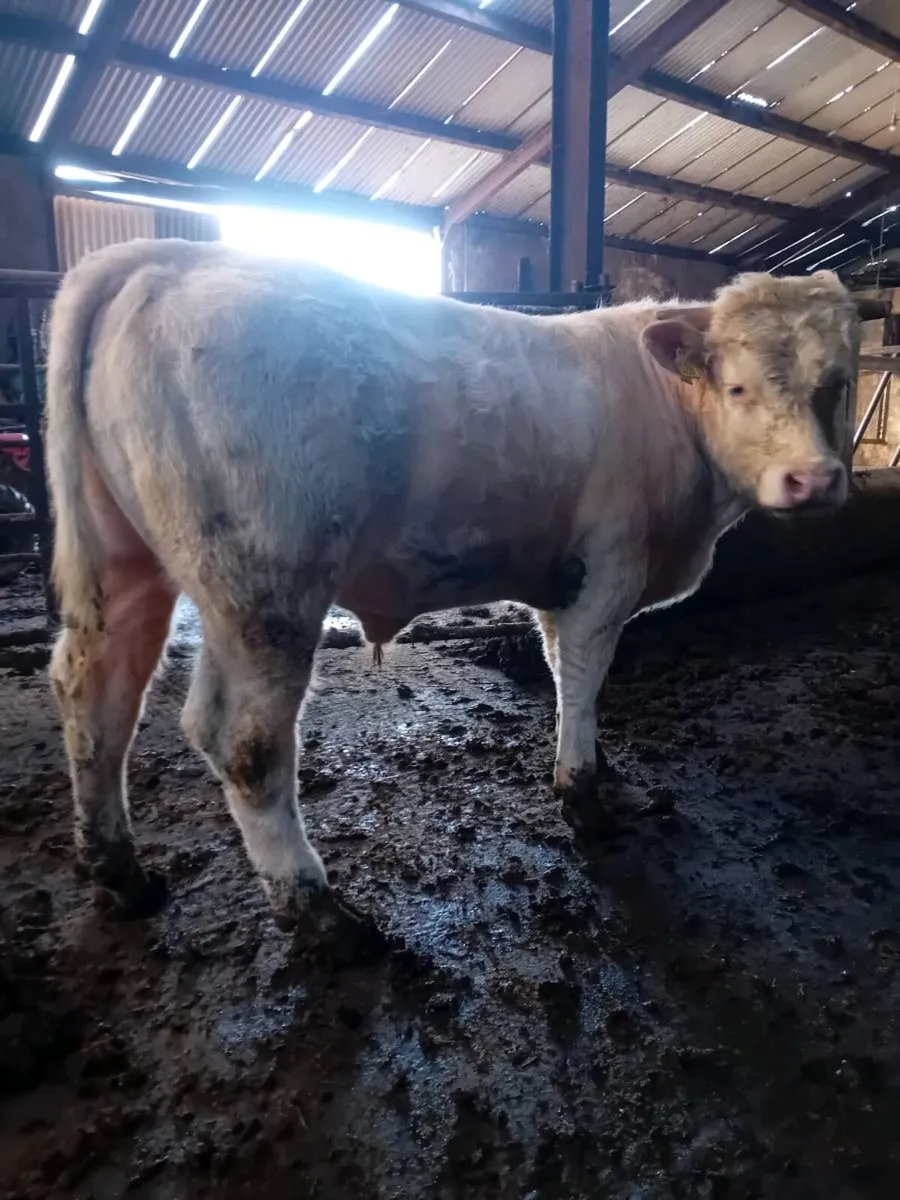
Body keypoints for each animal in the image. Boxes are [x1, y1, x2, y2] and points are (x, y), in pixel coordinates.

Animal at [45, 238, 862, 942]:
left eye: (838, 384)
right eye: (738, 386)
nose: (814, 480)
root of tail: (170, 258)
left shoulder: (562, 579)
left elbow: (563, 673)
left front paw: (601, 769)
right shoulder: (610, 568)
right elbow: (585, 675)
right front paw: (583, 798)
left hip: (126, 564)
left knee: (97, 696)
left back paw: (119, 872)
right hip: (264, 586)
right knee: (242, 740)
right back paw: (319, 912)